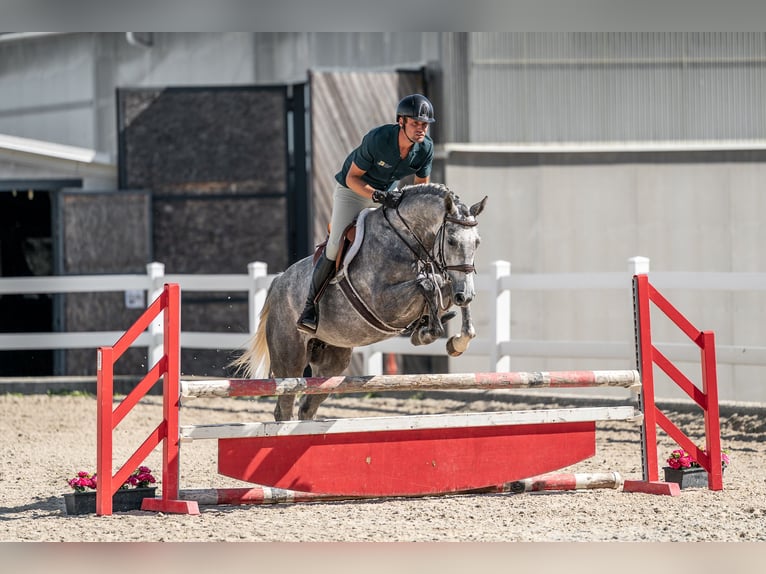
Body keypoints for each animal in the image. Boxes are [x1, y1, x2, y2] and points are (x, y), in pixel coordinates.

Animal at [233, 183, 487, 421]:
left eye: (477, 242)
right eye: (452, 241)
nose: (465, 294)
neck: (404, 239)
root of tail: (278, 281)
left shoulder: (449, 283)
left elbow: (442, 287)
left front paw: (455, 340)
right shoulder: (382, 304)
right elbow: (428, 284)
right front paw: (428, 331)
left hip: (332, 362)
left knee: (307, 407)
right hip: (290, 359)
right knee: (284, 407)